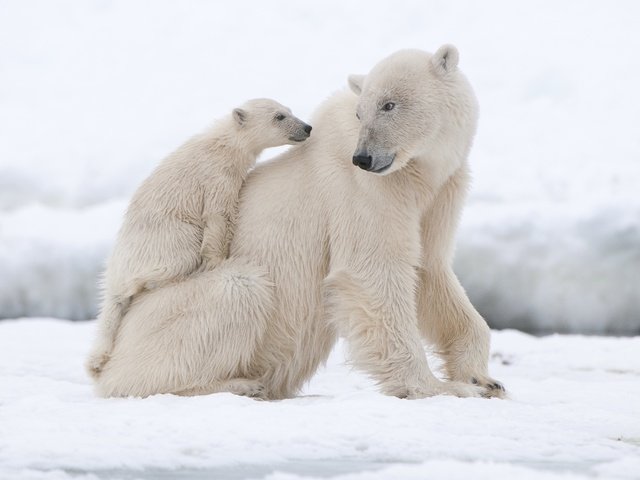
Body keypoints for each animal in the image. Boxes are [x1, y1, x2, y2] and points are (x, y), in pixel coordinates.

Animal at [96, 46, 504, 398]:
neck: (417, 172)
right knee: (237, 289)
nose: (364, 157)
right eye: (361, 112)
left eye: (389, 104)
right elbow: (373, 272)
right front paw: (441, 387)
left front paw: (483, 379)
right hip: (170, 313)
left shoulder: (439, 192)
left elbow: (431, 271)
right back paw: (238, 383)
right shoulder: (363, 191)